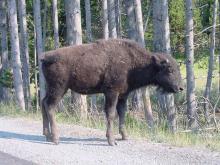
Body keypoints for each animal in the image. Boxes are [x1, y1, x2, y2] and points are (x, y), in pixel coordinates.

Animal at [40, 38, 183, 146]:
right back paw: (55, 138)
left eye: (178, 68)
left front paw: (125, 136)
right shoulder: (112, 93)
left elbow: (122, 113)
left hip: (51, 88)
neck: (134, 63)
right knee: (50, 106)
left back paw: (47, 135)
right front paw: (112, 141)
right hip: (59, 88)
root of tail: (46, 56)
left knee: (43, 103)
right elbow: (111, 114)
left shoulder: (123, 95)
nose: (180, 88)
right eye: (169, 70)